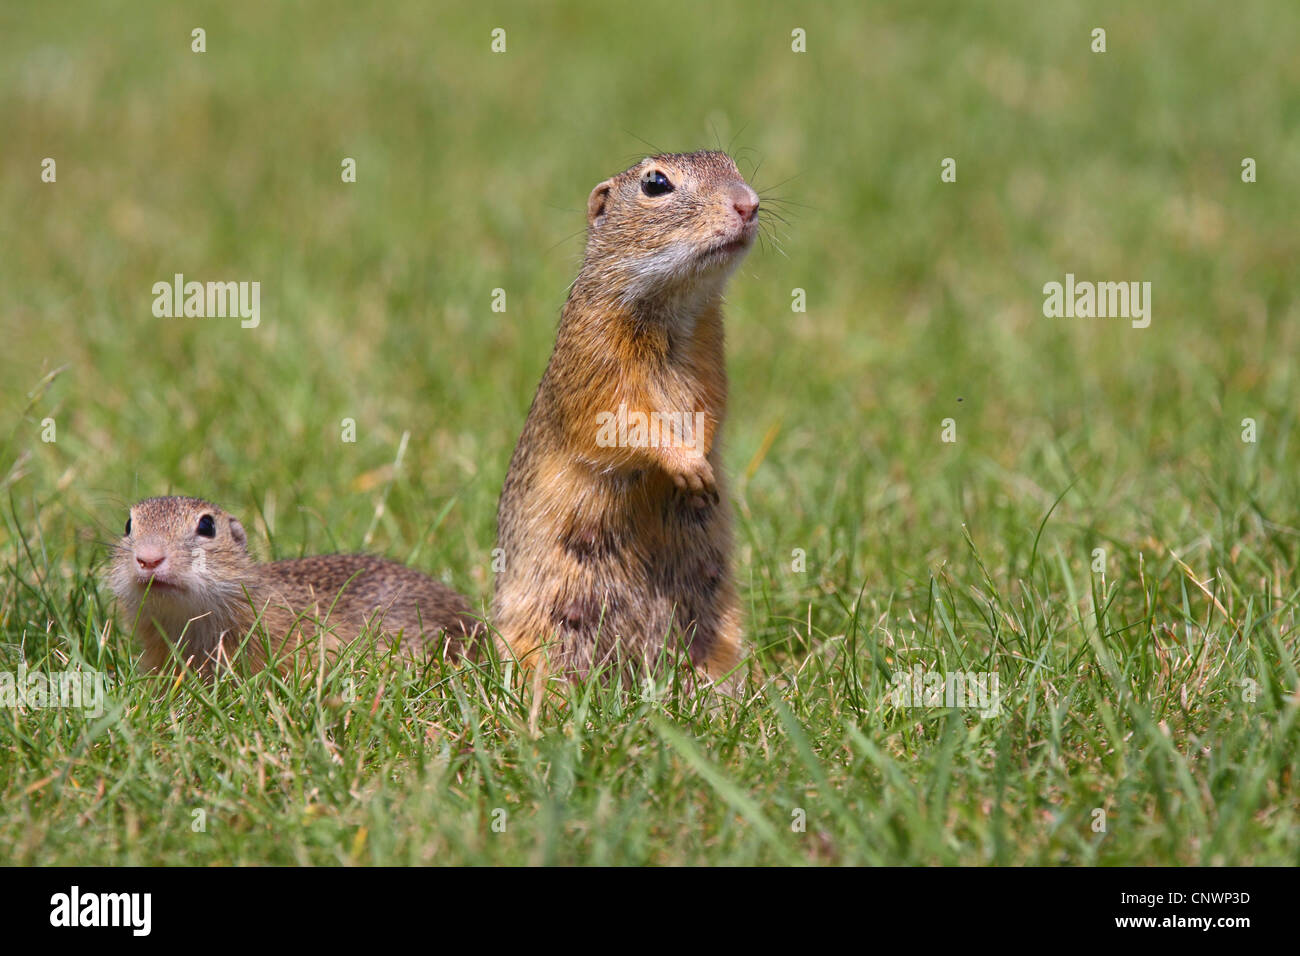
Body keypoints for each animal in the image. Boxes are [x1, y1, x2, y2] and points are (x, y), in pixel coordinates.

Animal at [496, 149, 759, 686]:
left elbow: (711, 409)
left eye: (733, 164)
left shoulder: (710, 358)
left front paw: (702, 464)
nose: (749, 204)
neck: (674, 308)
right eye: (655, 183)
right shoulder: (596, 359)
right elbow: (619, 422)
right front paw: (687, 467)